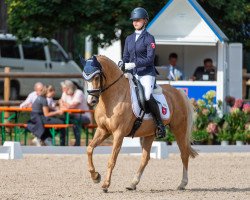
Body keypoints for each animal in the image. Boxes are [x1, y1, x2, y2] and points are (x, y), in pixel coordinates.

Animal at [81, 54, 198, 192]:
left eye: (96, 76)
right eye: (85, 77)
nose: (91, 101)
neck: (114, 97)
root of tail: (178, 91)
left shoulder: (119, 133)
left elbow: (112, 160)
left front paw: (105, 184)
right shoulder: (102, 130)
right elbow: (89, 149)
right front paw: (95, 176)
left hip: (179, 129)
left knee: (184, 154)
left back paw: (182, 183)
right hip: (149, 134)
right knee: (145, 158)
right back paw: (132, 183)